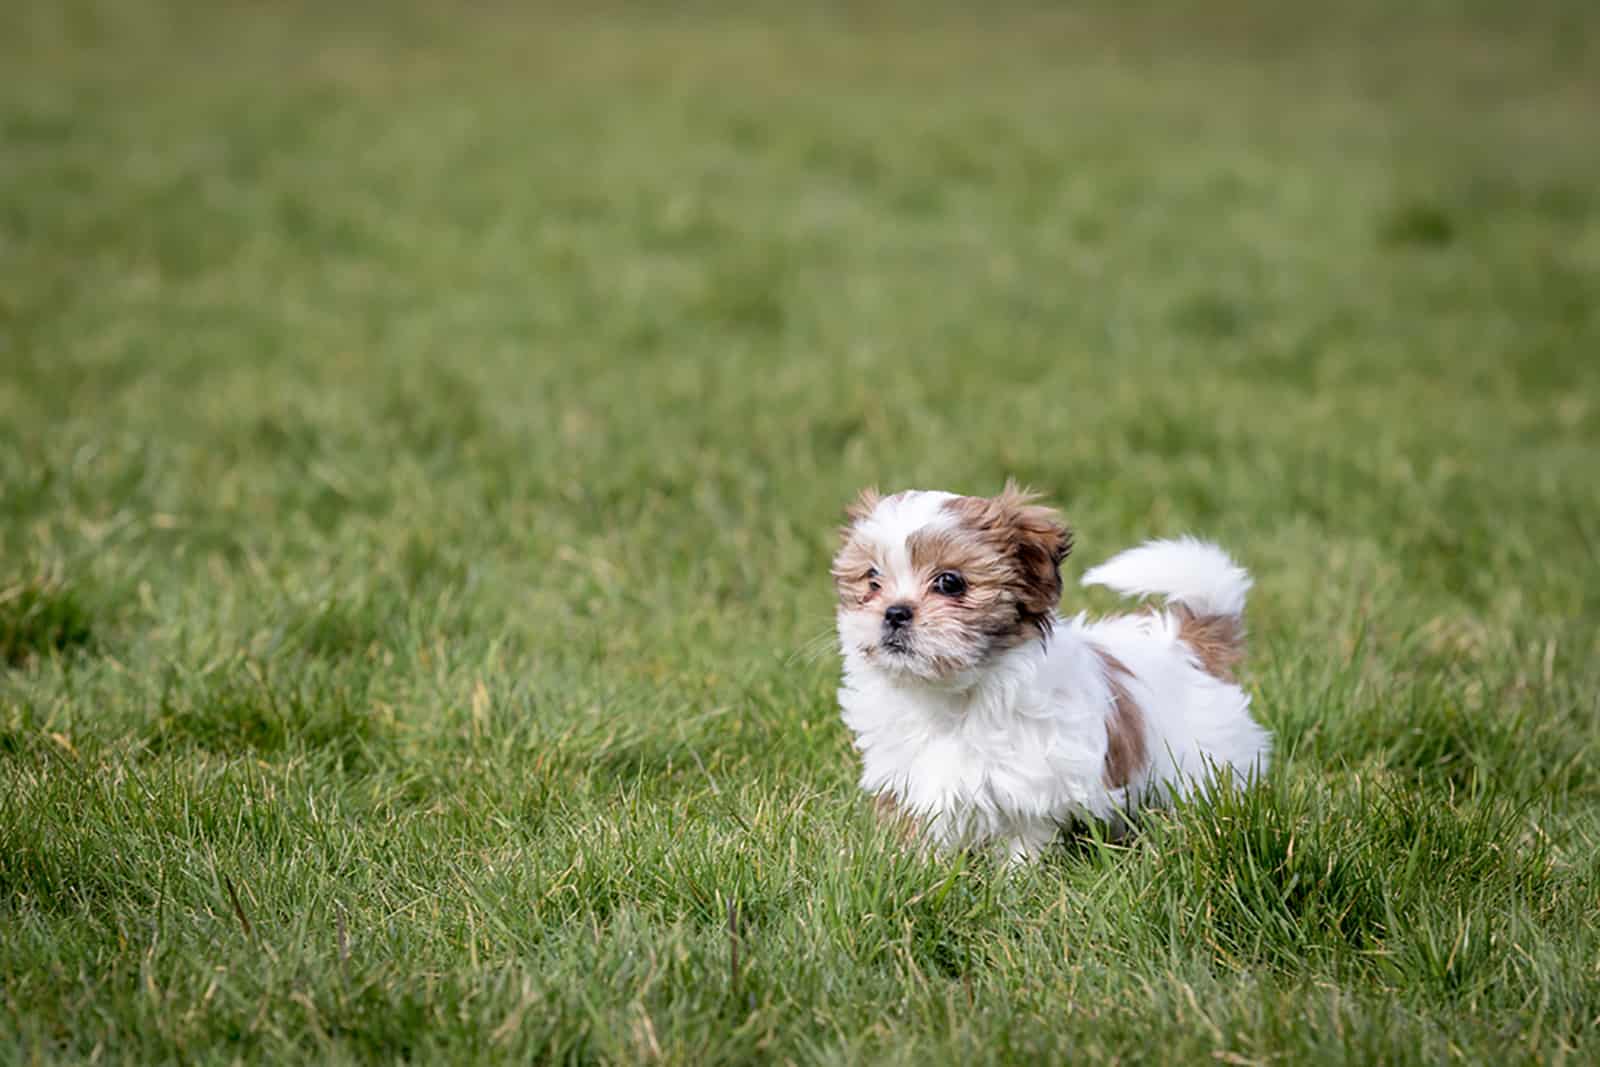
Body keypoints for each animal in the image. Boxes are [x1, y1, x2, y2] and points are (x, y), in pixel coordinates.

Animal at [832, 483, 1267, 857]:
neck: (952, 698)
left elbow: (1025, 839)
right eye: (872, 580)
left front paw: (1013, 883)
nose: (895, 612)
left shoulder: (1032, 786)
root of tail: (1188, 641)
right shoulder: (913, 778)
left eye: (950, 582)